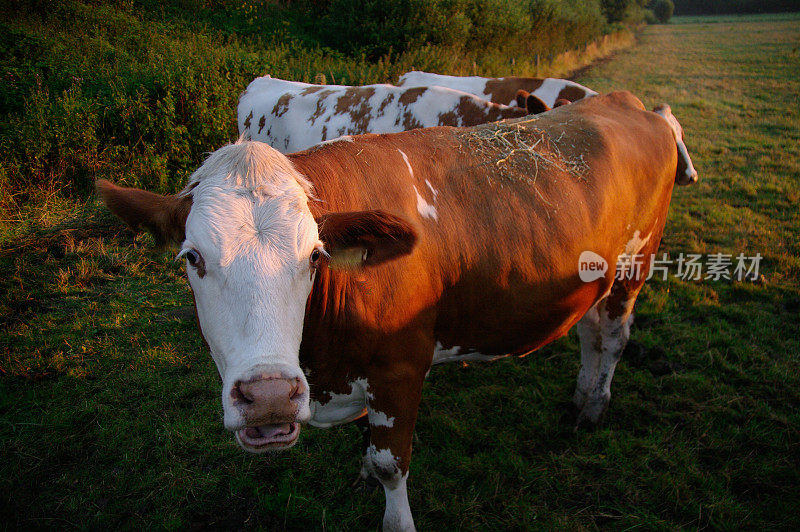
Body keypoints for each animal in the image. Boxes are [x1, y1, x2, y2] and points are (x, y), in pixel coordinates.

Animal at [98, 92, 692, 532]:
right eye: (192, 257)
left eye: (313, 256)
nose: (269, 395)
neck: (324, 365)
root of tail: (627, 102)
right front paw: (361, 469)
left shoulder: (401, 369)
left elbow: (391, 465)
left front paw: (390, 506)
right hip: (594, 277)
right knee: (589, 334)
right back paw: (579, 399)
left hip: (636, 264)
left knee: (611, 338)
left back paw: (594, 408)